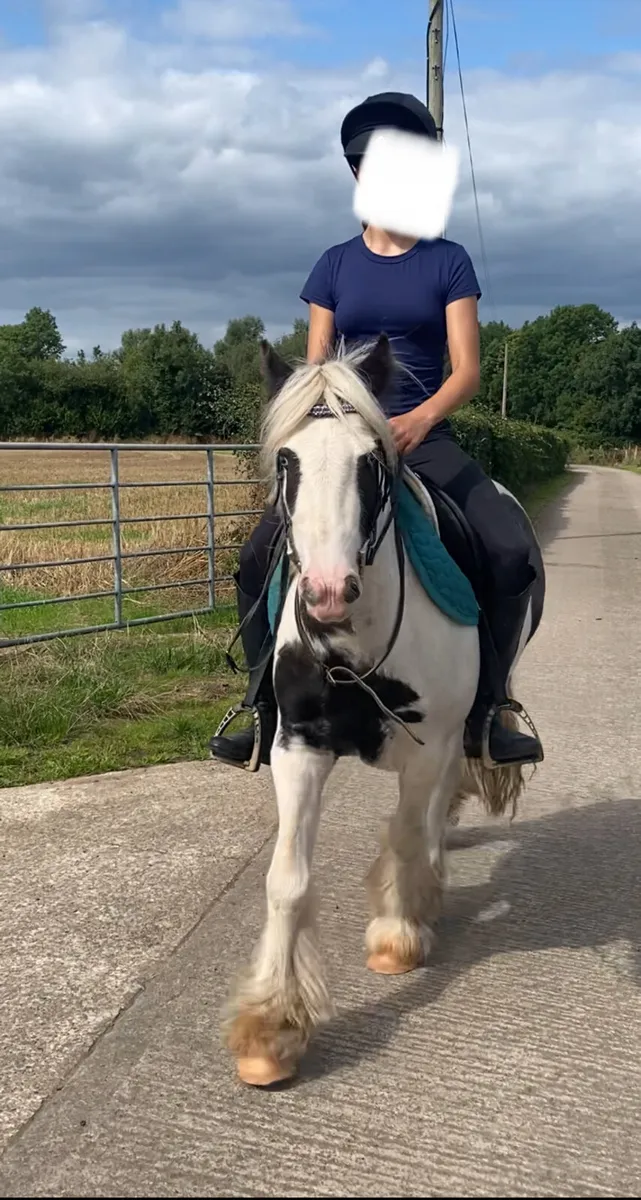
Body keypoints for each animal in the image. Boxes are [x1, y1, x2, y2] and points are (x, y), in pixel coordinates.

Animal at [223, 334, 543, 1087]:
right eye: (287, 461)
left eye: (372, 461)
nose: (325, 593)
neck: (354, 641)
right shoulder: (298, 744)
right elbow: (287, 880)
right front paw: (270, 1030)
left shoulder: (430, 747)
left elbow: (403, 832)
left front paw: (398, 930)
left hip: (459, 732)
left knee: (432, 812)